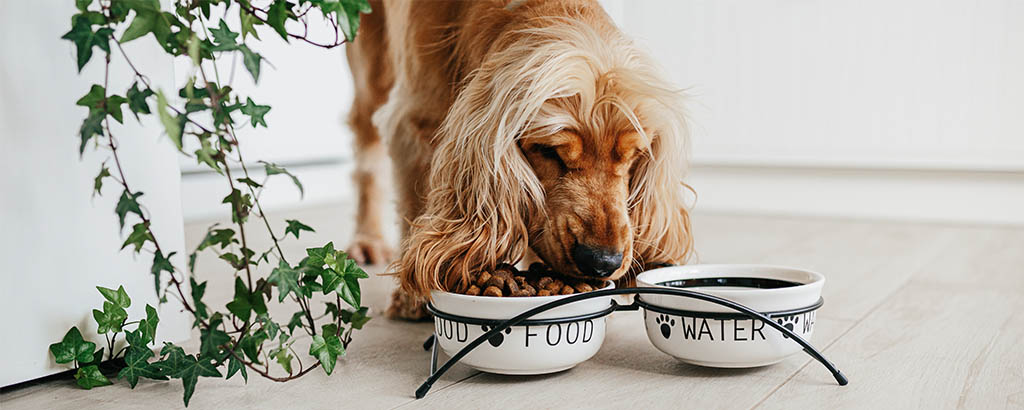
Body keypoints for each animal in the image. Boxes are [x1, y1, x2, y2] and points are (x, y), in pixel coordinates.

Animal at [346, 0, 696, 319]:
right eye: (549, 151)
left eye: (635, 154)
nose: (601, 262)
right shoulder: (415, 121)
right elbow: (414, 202)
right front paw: (413, 299)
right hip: (371, 59)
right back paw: (368, 240)